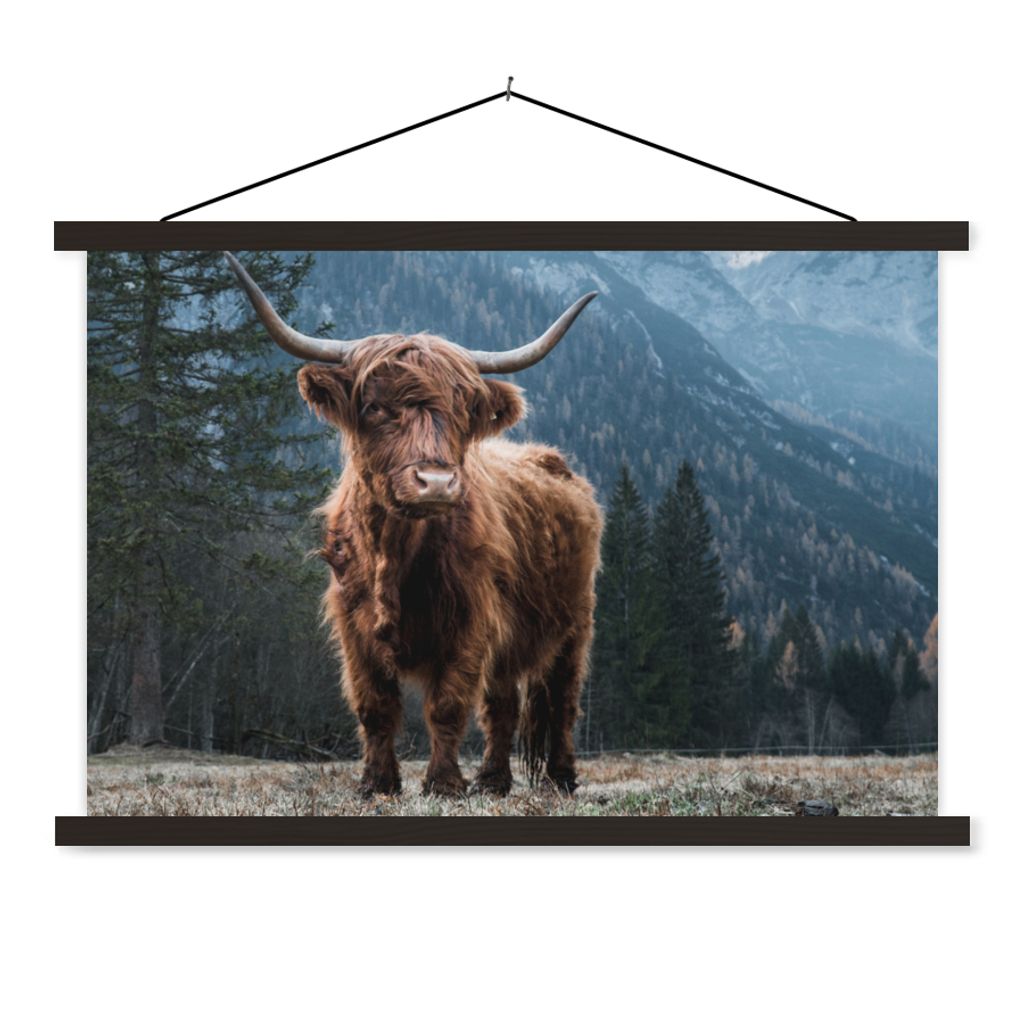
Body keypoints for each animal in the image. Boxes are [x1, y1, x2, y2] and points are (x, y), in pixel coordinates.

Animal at [226, 253, 602, 798]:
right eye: (374, 406)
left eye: (462, 411)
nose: (437, 482)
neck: (395, 553)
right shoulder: (353, 627)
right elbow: (375, 707)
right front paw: (376, 783)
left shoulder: (470, 621)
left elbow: (447, 706)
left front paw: (443, 783)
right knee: (503, 706)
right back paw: (493, 781)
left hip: (575, 623)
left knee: (562, 701)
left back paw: (560, 778)